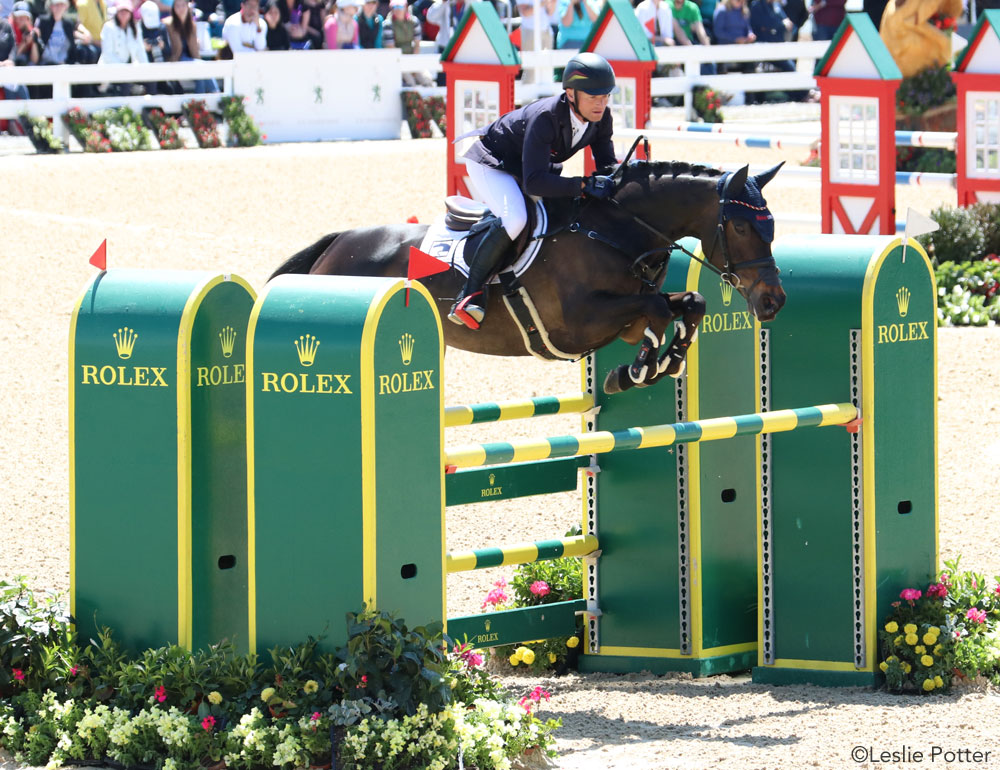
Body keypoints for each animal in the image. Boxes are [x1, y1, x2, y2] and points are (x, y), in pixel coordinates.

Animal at [274, 159, 788, 392]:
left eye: (771, 225)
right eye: (742, 226)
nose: (774, 301)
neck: (614, 229)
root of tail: (337, 243)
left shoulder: (620, 322)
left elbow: (688, 305)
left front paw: (657, 364)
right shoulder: (579, 323)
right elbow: (658, 309)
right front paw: (639, 370)